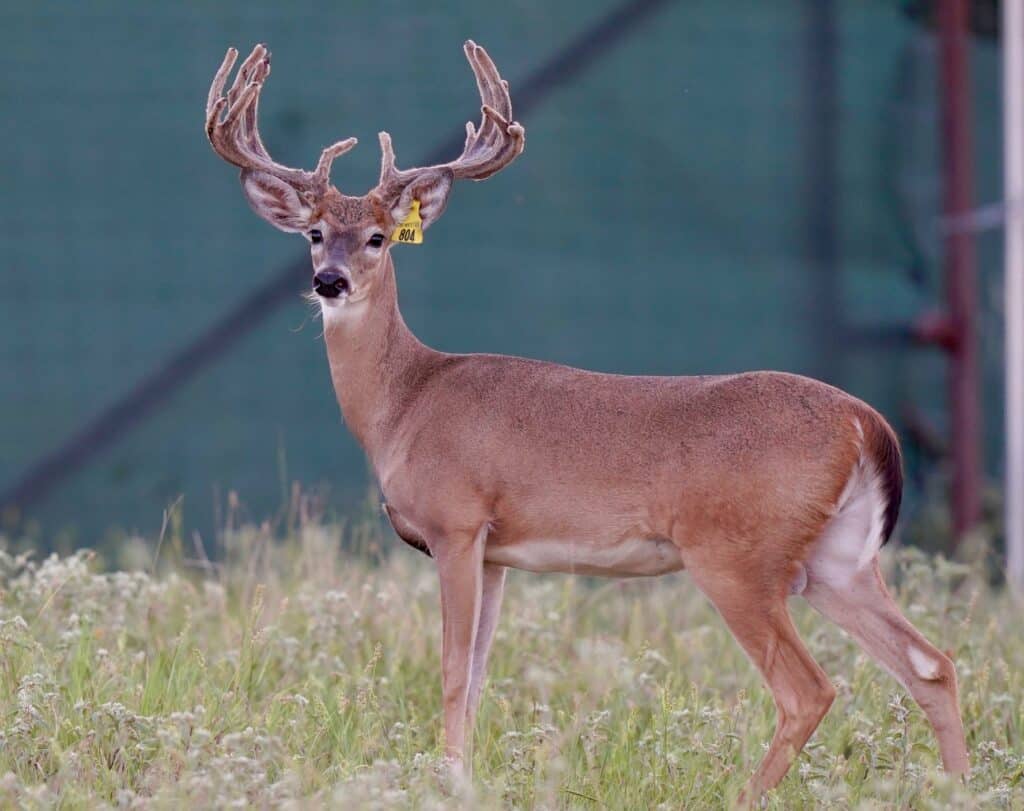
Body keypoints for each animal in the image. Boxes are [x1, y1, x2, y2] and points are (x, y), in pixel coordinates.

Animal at [205, 41, 969, 802]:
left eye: (378, 237)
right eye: (313, 233)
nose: (329, 281)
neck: (406, 401)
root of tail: (867, 423)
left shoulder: (456, 522)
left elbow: (451, 672)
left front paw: (448, 782)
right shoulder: (495, 552)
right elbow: (477, 677)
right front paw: (465, 777)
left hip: (738, 554)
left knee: (809, 688)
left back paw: (744, 795)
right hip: (838, 558)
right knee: (932, 662)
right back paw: (962, 786)